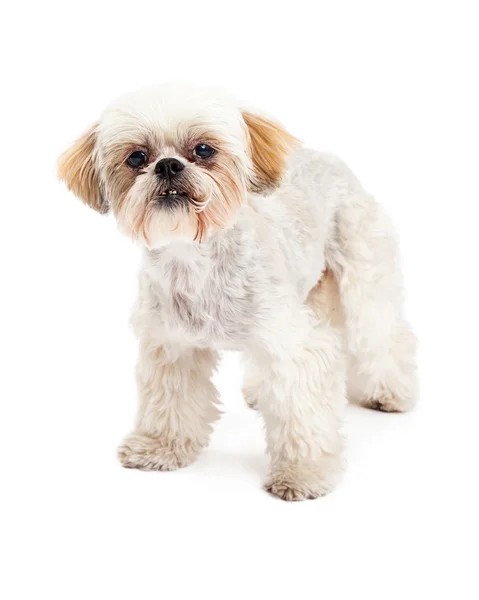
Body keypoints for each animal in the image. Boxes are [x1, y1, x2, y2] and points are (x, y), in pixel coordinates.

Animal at [58, 82, 416, 500]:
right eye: (137, 157)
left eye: (203, 150)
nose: (168, 165)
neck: (196, 260)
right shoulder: (172, 348)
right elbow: (169, 404)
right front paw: (159, 446)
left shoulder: (295, 347)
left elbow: (303, 415)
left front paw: (302, 473)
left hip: (364, 280)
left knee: (384, 335)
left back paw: (390, 392)